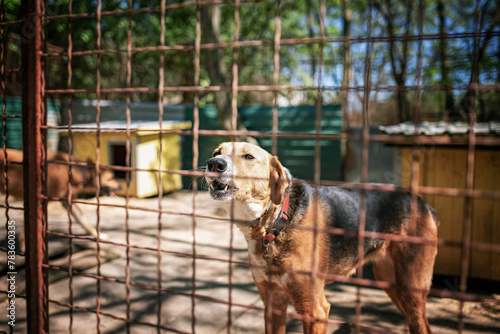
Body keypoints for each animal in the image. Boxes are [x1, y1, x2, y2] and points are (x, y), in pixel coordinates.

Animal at [203, 142, 438, 334]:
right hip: (391, 281)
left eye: (248, 156)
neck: (277, 223)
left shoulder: (314, 310)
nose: (214, 164)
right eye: (216, 152)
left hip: (411, 289)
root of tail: (424, 204)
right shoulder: (273, 303)